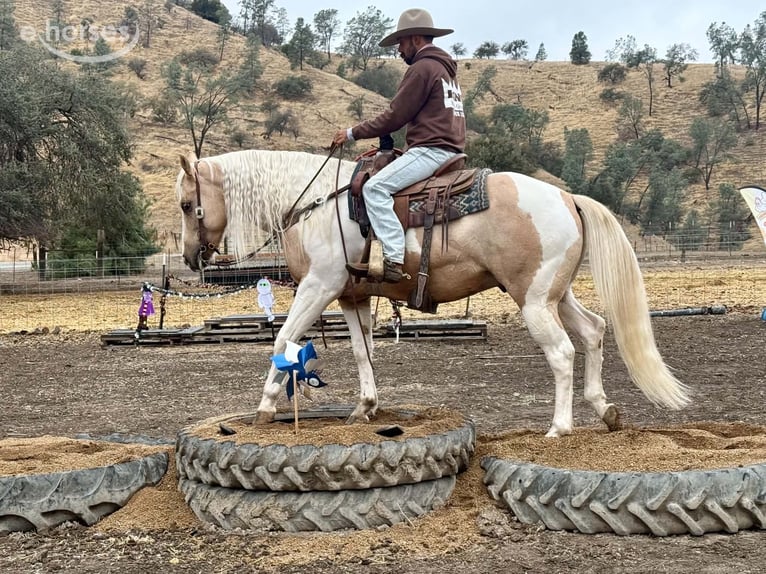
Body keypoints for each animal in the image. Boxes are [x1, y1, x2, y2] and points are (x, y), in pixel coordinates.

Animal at [175, 148, 690, 437]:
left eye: (185, 204)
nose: (190, 258)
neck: (316, 202)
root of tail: (568, 198)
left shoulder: (318, 287)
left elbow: (284, 341)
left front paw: (264, 408)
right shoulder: (350, 296)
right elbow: (362, 352)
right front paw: (364, 408)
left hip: (533, 300)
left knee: (563, 352)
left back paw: (559, 428)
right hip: (553, 296)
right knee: (595, 332)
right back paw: (606, 411)